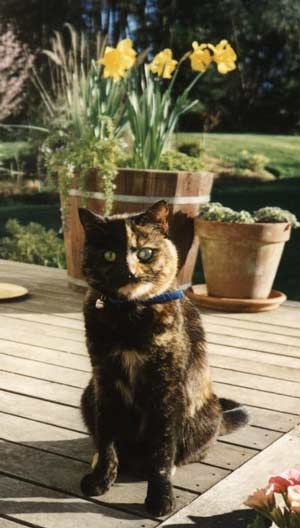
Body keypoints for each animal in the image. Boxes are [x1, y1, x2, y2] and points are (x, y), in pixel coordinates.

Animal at [78, 202, 248, 516]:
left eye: (145, 253)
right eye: (109, 255)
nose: (129, 272)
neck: (128, 317)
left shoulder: (167, 388)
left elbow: (162, 449)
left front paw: (160, 497)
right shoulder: (104, 379)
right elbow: (106, 435)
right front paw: (101, 477)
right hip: (87, 394)